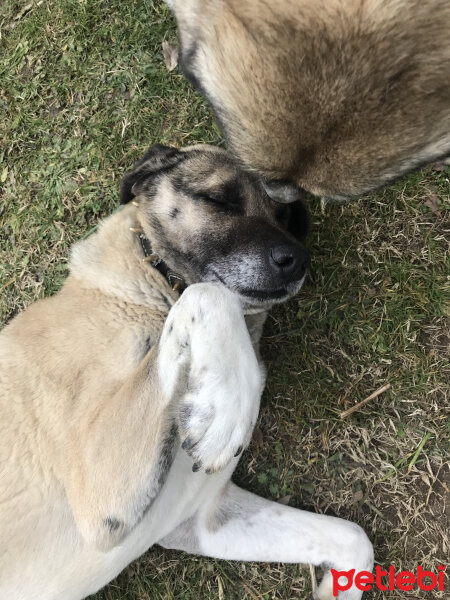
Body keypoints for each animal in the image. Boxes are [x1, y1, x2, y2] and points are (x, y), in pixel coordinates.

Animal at [0, 145, 372, 600]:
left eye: (285, 216)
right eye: (219, 200)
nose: (297, 261)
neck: (153, 279)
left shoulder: (201, 519)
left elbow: (353, 537)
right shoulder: (97, 496)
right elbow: (206, 292)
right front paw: (227, 406)